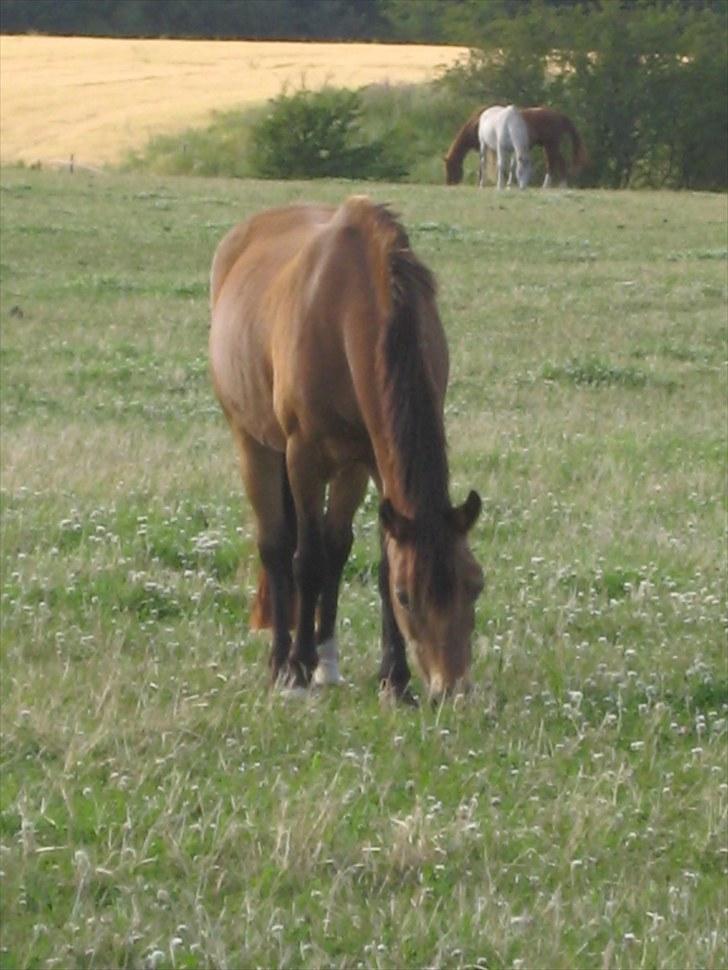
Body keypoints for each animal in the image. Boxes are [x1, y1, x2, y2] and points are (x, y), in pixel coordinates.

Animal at [209, 195, 484, 696]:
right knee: (276, 547)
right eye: (406, 597)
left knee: (332, 546)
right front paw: (300, 667)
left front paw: (392, 678)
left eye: (475, 584)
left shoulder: (367, 459)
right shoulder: (304, 456)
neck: (348, 311)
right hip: (254, 443)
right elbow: (307, 560)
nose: (450, 687)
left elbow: (358, 555)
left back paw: (327, 661)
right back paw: (281, 660)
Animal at [444, 104, 592, 187]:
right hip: (550, 146)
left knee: (554, 163)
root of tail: (559, 115)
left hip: (551, 145)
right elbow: (509, 164)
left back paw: (548, 185)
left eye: (450, 167)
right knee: (558, 163)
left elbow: (486, 166)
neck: (477, 122)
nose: (449, 183)